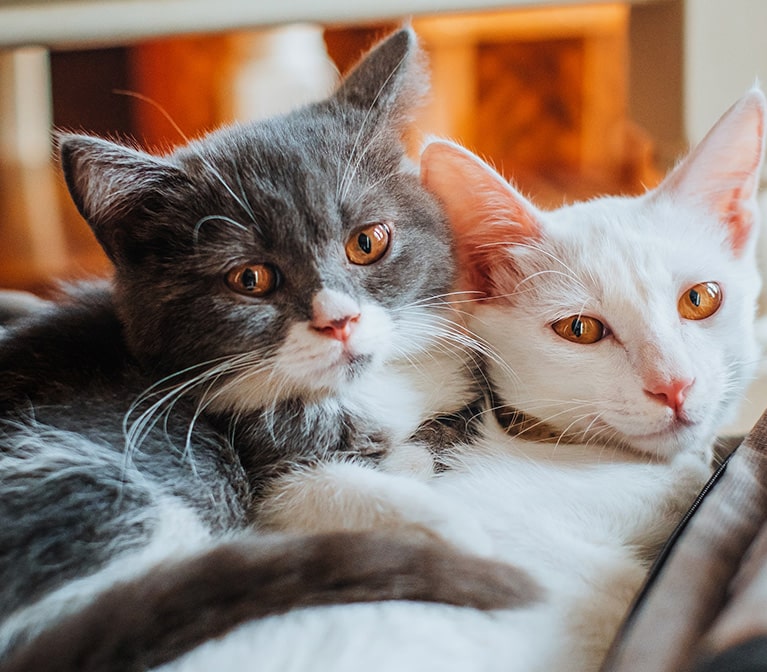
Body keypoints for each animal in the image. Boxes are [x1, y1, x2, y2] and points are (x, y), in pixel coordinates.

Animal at [0, 28, 536, 672]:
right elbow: (312, 489)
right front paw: (452, 525)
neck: (362, 393)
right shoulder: (255, 468)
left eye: (367, 242)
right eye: (250, 279)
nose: (339, 320)